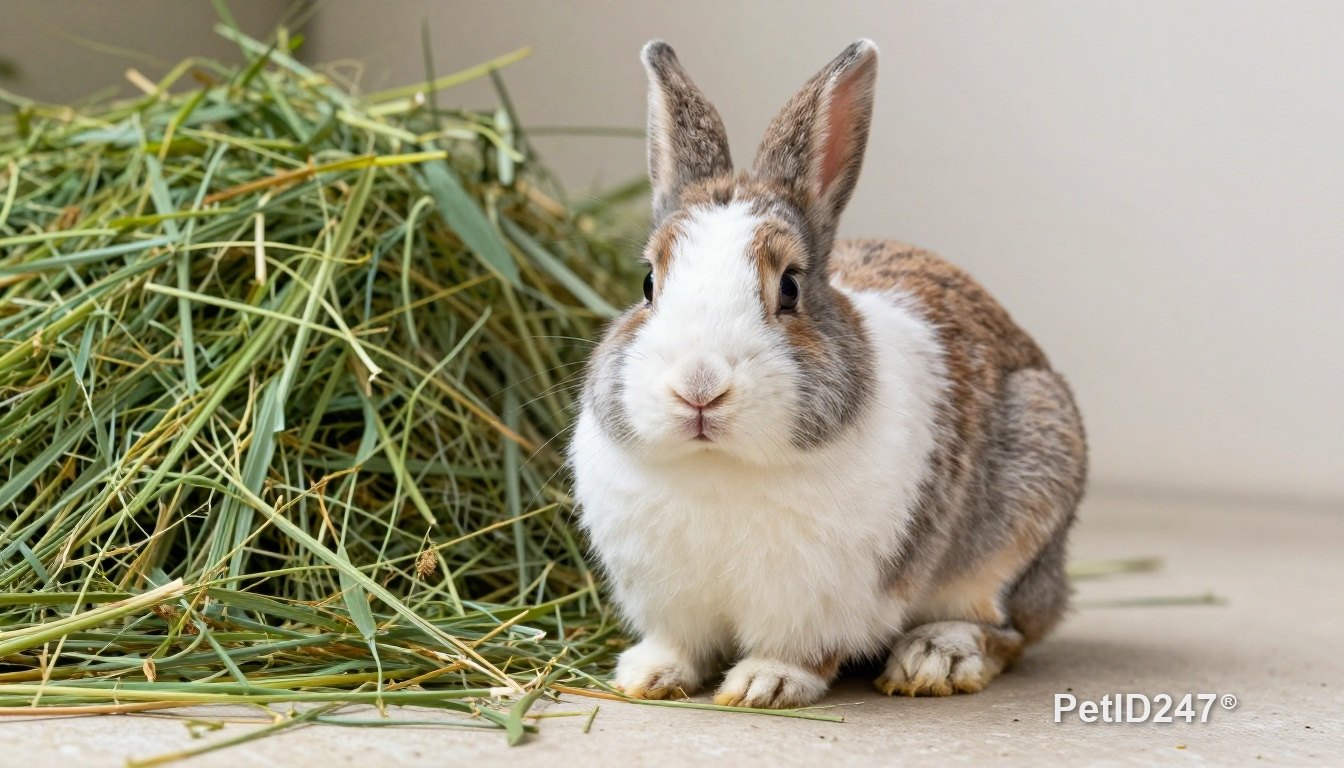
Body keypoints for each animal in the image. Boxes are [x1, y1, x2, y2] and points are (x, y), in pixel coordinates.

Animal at [567, 39, 1087, 709]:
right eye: (647, 284)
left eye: (789, 287)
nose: (699, 388)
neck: (720, 465)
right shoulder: (669, 599)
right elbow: (678, 642)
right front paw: (646, 677)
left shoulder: (819, 600)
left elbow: (800, 651)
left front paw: (763, 685)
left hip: (1025, 508)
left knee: (1007, 628)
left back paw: (933, 659)